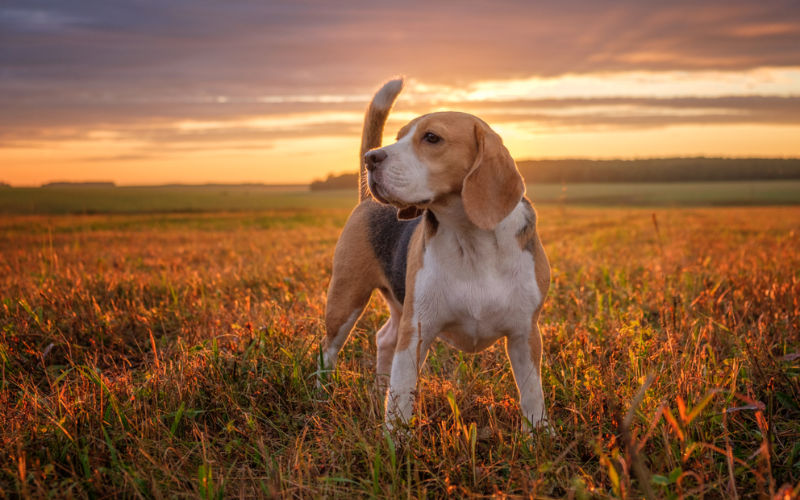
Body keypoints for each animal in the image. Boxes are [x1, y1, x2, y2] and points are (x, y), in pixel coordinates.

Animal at [318, 80, 552, 432]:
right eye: (399, 136)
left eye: (431, 138)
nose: (371, 158)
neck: (471, 239)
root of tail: (367, 200)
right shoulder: (417, 331)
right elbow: (401, 396)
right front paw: (394, 442)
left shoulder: (526, 334)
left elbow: (532, 394)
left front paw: (539, 435)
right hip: (346, 298)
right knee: (329, 351)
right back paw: (320, 394)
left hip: (398, 304)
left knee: (384, 338)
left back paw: (377, 390)